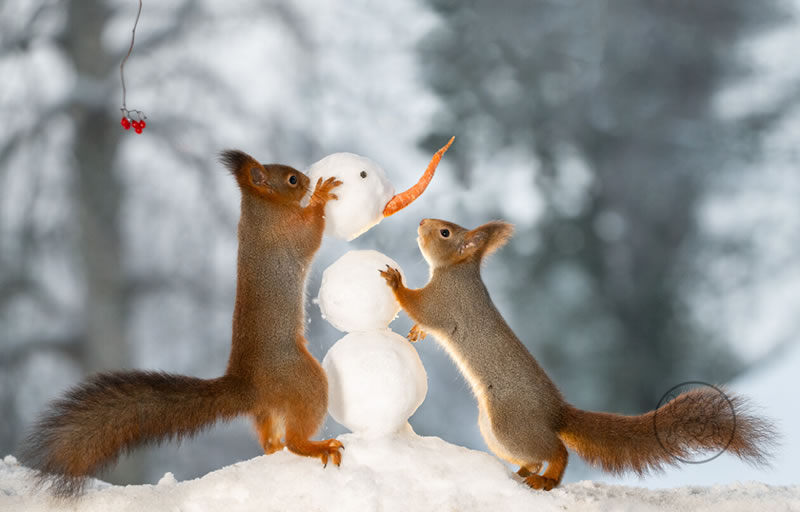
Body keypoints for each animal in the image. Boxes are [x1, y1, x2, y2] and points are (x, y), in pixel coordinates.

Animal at [21, 148, 344, 496]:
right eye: (292, 179)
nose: (308, 179)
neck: (262, 210)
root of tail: (248, 384)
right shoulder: (288, 234)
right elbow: (311, 232)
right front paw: (321, 195)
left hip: (268, 410)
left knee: (270, 440)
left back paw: (281, 448)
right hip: (305, 381)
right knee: (294, 439)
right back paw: (317, 446)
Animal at [382, 219, 776, 492]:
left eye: (445, 232)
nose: (421, 222)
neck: (457, 270)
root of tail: (556, 413)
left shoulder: (444, 300)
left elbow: (418, 306)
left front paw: (395, 282)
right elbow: (422, 322)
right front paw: (415, 333)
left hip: (508, 424)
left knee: (557, 452)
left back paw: (546, 479)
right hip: (494, 431)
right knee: (535, 457)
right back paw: (524, 472)